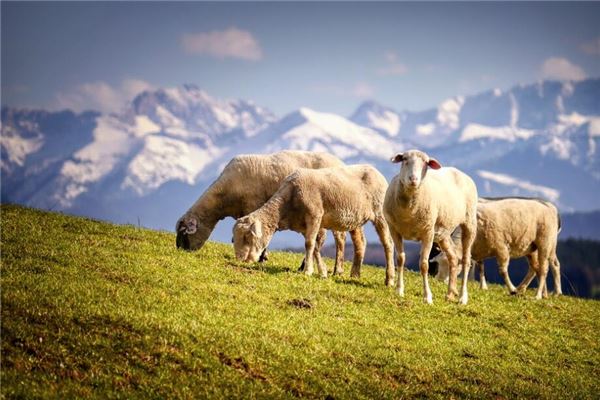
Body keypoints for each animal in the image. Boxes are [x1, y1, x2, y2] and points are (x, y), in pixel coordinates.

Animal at [176, 150, 364, 276]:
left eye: (184, 233)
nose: (181, 251)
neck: (223, 197)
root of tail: (341, 163)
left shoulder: (253, 204)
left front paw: (262, 257)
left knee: (339, 239)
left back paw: (337, 270)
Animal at [232, 162, 396, 284]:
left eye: (247, 237)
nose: (241, 260)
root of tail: (376, 171)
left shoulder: (315, 215)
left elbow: (309, 244)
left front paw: (308, 271)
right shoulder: (304, 224)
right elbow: (315, 246)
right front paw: (322, 272)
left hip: (380, 213)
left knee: (388, 244)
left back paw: (389, 279)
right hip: (355, 218)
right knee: (360, 242)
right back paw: (355, 274)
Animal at [384, 149, 478, 304]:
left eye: (426, 163)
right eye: (404, 159)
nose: (413, 179)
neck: (408, 211)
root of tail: (459, 171)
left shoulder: (427, 232)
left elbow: (424, 264)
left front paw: (427, 297)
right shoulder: (394, 229)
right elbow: (400, 259)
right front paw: (399, 290)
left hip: (469, 223)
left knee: (466, 260)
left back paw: (462, 297)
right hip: (443, 232)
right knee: (453, 258)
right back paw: (450, 294)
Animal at [432, 197, 564, 296]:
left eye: (451, 265)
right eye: (439, 264)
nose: (439, 280)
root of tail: (550, 207)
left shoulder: (501, 248)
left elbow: (503, 271)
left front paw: (512, 289)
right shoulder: (478, 249)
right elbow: (481, 267)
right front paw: (483, 286)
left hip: (546, 243)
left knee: (550, 266)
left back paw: (551, 293)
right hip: (531, 247)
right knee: (535, 268)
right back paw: (534, 291)